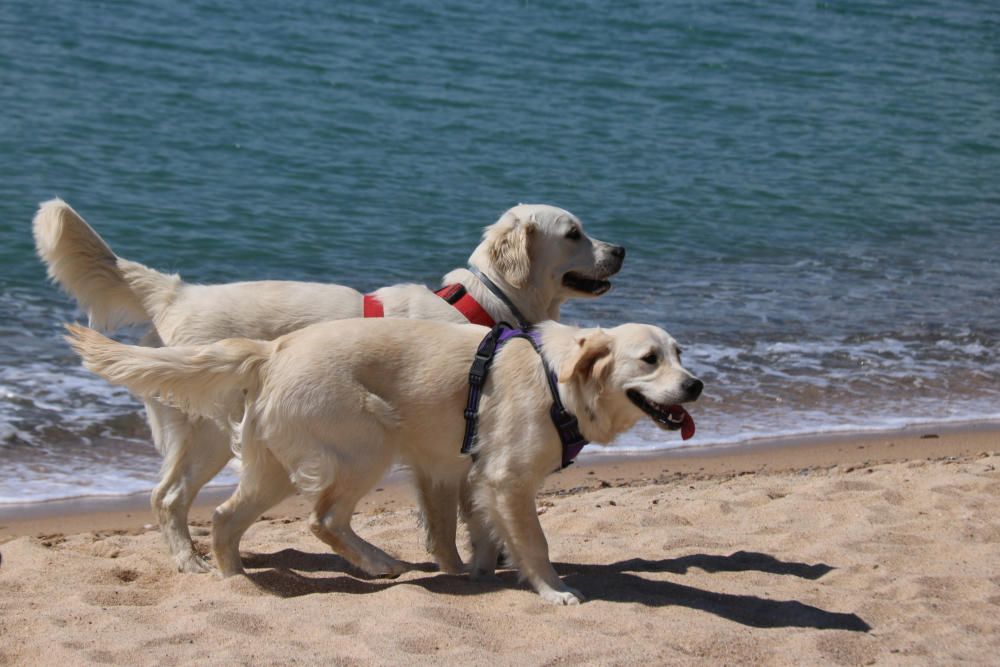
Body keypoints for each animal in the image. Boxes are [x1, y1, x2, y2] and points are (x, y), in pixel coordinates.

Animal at [33, 200, 624, 576]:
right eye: (574, 233)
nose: (620, 248)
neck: (480, 306)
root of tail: (177, 294)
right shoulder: (442, 452)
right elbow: (455, 521)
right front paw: (469, 565)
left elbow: (453, 521)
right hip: (221, 432)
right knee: (173, 497)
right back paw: (192, 562)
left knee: (170, 497)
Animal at [64, 318, 704, 604]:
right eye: (649, 359)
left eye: (680, 353)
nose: (696, 385)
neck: (561, 382)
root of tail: (273, 349)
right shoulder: (507, 478)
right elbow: (535, 543)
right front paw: (552, 590)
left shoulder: (478, 475)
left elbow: (482, 533)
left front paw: (477, 570)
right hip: (368, 441)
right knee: (322, 518)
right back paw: (373, 564)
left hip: (273, 463)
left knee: (225, 518)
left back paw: (237, 581)